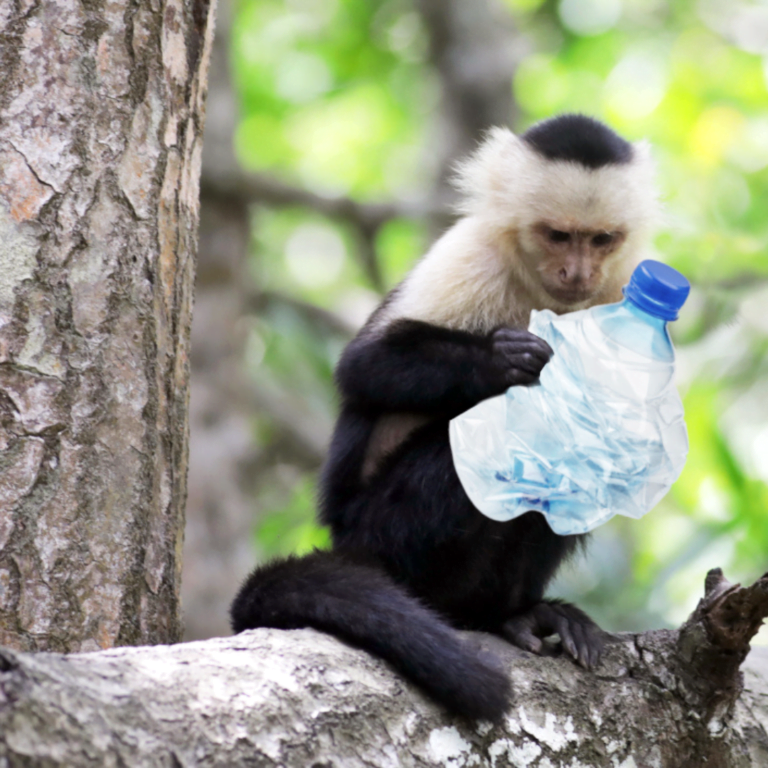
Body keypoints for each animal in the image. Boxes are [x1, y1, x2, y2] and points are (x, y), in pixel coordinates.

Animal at [230, 114, 660, 720]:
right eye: (558, 235)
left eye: (601, 239)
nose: (577, 272)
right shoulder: (470, 254)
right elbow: (364, 366)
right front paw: (503, 362)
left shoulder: (619, 284)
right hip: (378, 538)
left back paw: (512, 614)